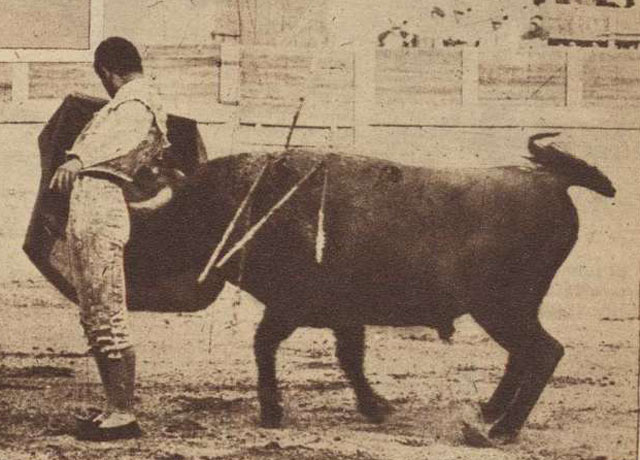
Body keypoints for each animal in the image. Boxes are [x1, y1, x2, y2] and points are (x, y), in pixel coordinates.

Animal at [126, 131, 616, 444]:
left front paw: (272, 412)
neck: (243, 205)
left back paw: (503, 429)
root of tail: (551, 179)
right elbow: (350, 358)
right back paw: (490, 413)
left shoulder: (289, 307)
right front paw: (376, 407)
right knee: (524, 355)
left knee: (543, 352)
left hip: (502, 308)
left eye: (146, 238)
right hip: (510, 310)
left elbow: (266, 346)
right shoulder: (343, 315)